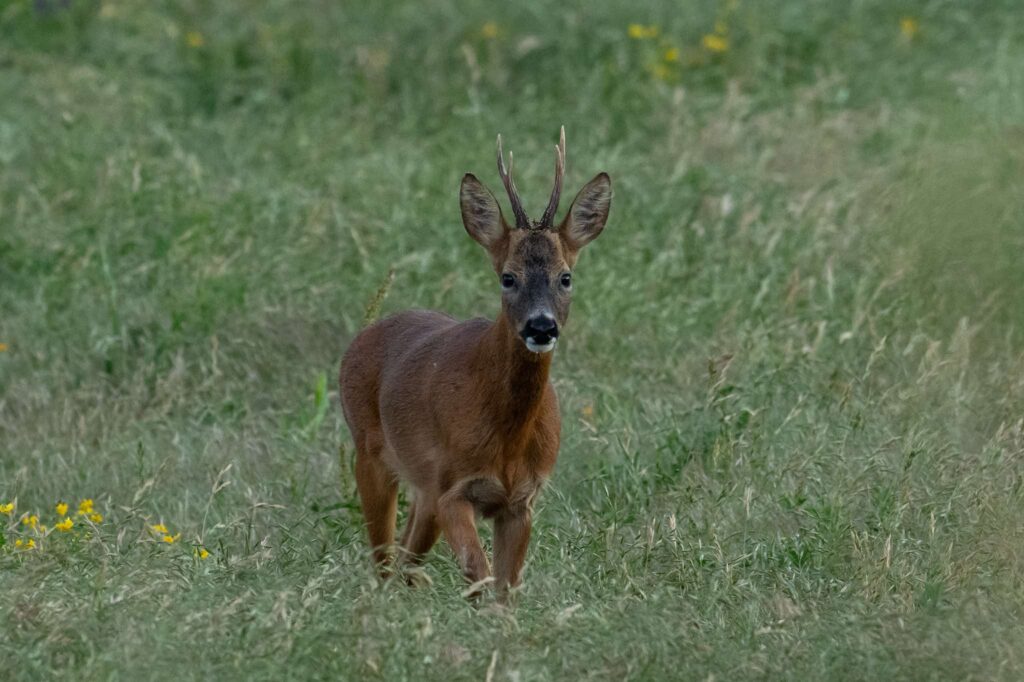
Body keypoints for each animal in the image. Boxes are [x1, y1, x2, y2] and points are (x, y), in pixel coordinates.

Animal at [339, 127, 611, 599]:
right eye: (508, 277)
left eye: (565, 276)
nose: (541, 326)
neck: (509, 441)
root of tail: (366, 332)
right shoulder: (453, 489)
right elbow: (479, 577)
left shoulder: (521, 501)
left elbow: (505, 590)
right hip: (370, 452)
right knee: (385, 560)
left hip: (422, 490)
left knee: (406, 556)